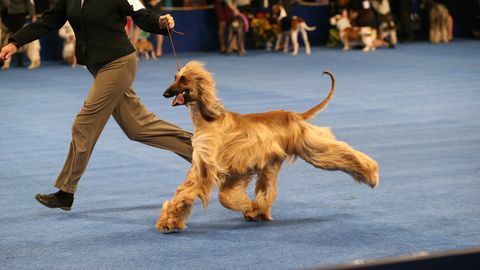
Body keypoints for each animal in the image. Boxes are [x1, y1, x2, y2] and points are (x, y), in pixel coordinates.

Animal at [157, 61, 378, 232]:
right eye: (175, 76)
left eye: (184, 79)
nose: (165, 93)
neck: (209, 119)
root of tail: (294, 115)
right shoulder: (221, 167)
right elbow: (205, 193)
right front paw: (169, 221)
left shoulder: (216, 165)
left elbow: (212, 195)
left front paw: (247, 206)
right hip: (271, 164)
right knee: (268, 189)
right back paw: (261, 212)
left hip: (309, 146)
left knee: (340, 153)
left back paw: (372, 174)